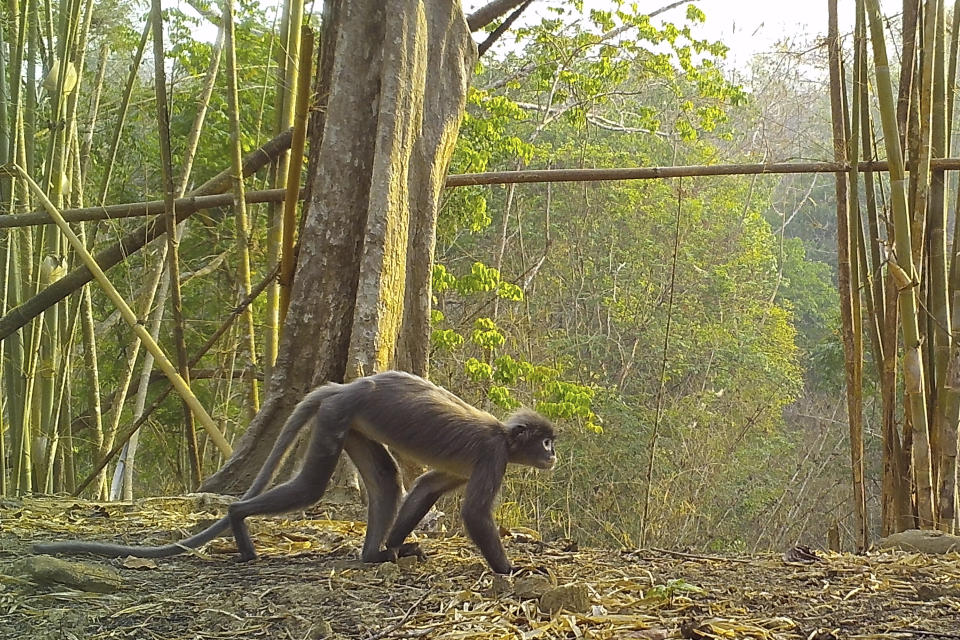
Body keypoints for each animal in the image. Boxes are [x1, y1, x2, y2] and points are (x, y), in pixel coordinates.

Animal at [35, 370, 556, 576]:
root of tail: (347, 385)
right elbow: (473, 514)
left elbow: (427, 485)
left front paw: (396, 547)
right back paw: (239, 520)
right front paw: (513, 570)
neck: (505, 436)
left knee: (386, 481)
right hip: (339, 415)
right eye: (546, 441)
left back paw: (373, 555)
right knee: (310, 487)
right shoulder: (492, 455)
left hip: (348, 422)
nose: (553, 455)